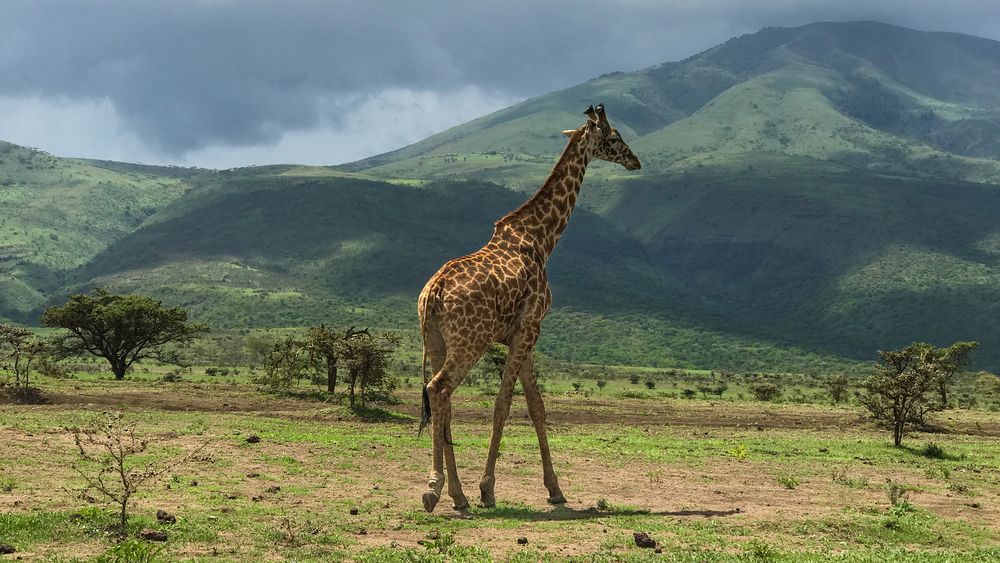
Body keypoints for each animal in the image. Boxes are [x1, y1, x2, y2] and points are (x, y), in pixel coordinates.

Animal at [416, 103, 640, 512]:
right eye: (615, 138)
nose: (636, 161)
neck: (541, 238)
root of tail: (433, 293)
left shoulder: (523, 333)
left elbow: (537, 406)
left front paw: (555, 489)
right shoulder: (530, 326)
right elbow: (504, 403)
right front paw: (488, 488)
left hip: (436, 341)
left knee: (443, 400)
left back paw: (456, 495)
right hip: (470, 341)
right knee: (439, 389)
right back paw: (435, 489)